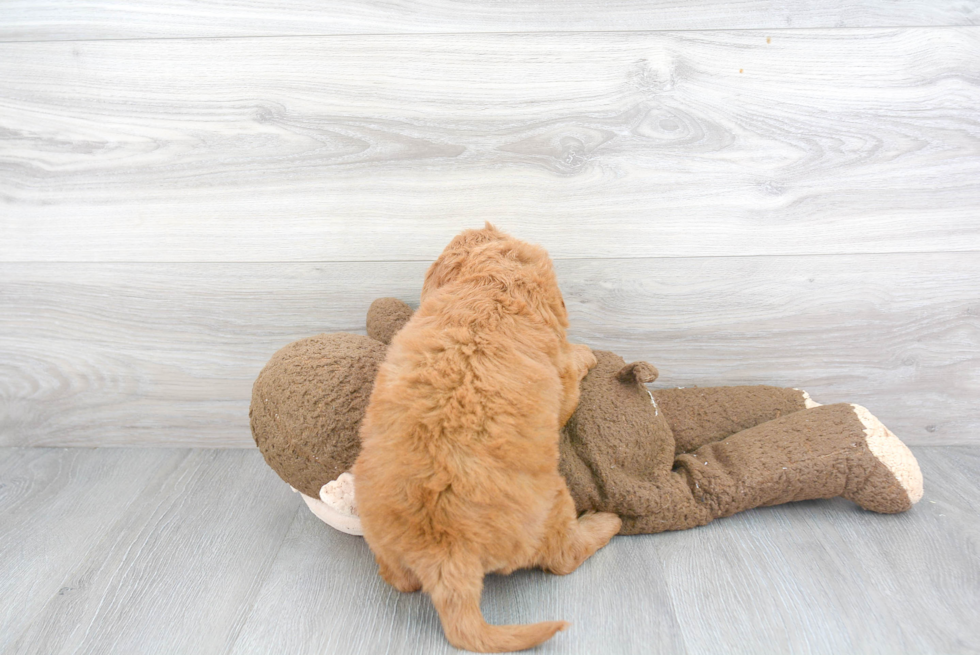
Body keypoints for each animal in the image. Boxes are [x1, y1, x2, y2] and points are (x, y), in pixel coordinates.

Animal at [352, 224, 620, 652]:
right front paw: (585, 353)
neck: (491, 284)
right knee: (563, 557)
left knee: (399, 580)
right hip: (553, 502)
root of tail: (444, 553)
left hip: (382, 541)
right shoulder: (561, 381)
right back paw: (604, 522)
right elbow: (570, 376)